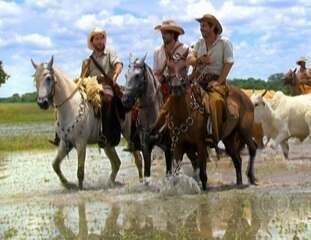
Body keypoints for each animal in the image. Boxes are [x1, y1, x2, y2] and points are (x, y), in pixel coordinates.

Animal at [31, 56, 143, 189]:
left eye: (48, 78)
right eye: (35, 79)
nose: (42, 102)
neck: (70, 107)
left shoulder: (81, 143)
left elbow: (80, 171)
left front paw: (80, 188)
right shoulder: (65, 143)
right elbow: (55, 165)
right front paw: (67, 184)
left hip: (128, 134)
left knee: (137, 158)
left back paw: (142, 181)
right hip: (107, 144)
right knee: (116, 162)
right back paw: (110, 183)